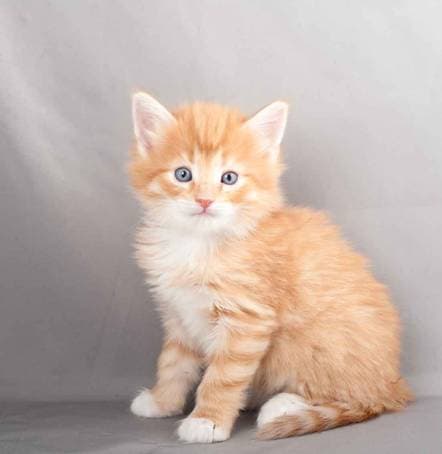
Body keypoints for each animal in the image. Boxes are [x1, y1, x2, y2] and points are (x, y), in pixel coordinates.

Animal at [128, 92, 412, 443]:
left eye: (229, 178)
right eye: (183, 174)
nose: (205, 201)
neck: (199, 242)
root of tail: (391, 384)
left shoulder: (247, 319)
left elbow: (223, 377)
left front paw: (207, 420)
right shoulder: (178, 313)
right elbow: (173, 364)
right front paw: (161, 401)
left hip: (319, 345)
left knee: (350, 397)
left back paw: (283, 405)